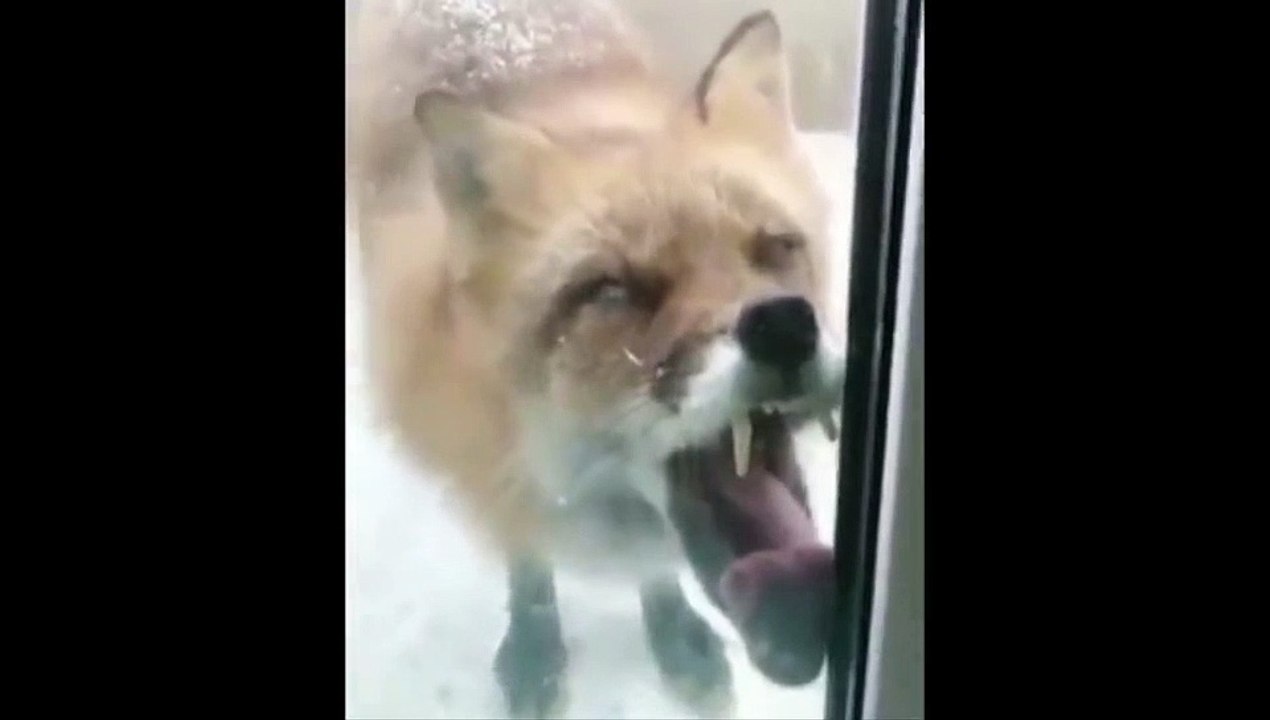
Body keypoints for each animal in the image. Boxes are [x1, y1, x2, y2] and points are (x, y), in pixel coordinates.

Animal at [348, 0, 847, 716]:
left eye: (776, 246)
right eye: (612, 291)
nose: (784, 326)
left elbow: (654, 569)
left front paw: (673, 634)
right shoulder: (487, 459)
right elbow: (529, 563)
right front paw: (535, 646)